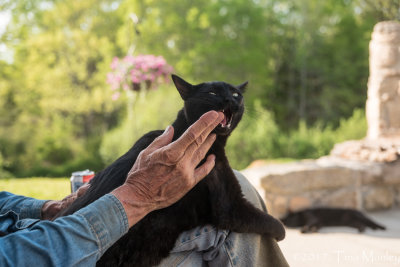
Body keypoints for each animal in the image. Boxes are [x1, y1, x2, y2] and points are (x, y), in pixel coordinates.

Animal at [57, 75, 286, 267]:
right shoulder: (230, 206)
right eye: (212, 93)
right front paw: (281, 232)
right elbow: (269, 221)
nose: (232, 100)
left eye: (236, 94)